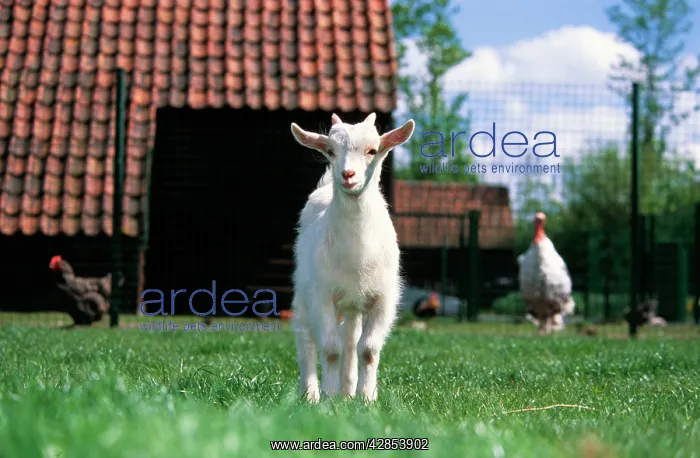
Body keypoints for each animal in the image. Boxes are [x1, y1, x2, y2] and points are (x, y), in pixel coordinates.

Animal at [289, 112, 415, 403]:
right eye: (330, 151)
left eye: (372, 150)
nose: (348, 175)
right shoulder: (322, 295)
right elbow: (330, 348)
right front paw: (329, 397)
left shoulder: (382, 298)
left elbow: (367, 349)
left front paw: (367, 398)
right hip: (305, 292)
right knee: (306, 336)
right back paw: (311, 393)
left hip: (352, 304)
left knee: (350, 338)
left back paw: (348, 392)